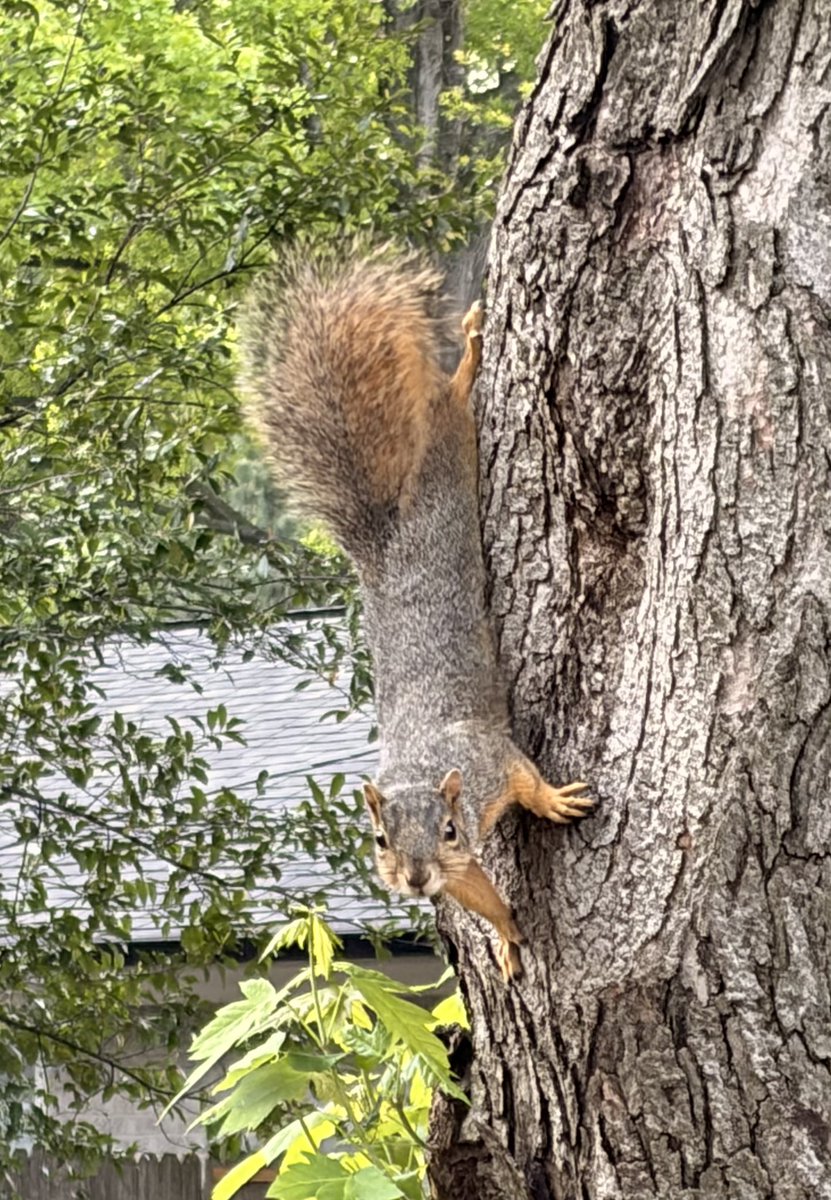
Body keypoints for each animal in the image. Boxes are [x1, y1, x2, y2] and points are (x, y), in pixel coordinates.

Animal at [240, 246, 591, 981]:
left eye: (449, 828)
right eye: (378, 839)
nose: (415, 879)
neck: (423, 774)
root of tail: (387, 538)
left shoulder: (488, 763)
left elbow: (526, 778)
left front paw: (552, 800)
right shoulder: (460, 862)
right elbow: (478, 893)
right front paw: (506, 935)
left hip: (447, 458)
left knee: (447, 401)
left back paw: (472, 354)